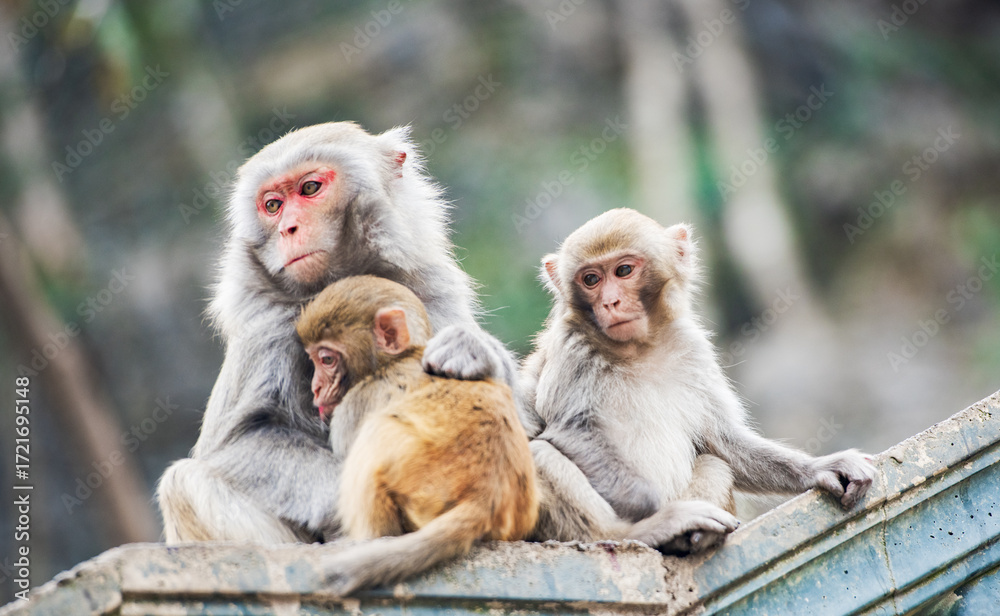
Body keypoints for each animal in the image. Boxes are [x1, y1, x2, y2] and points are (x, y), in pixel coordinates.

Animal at [156, 122, 519, 544]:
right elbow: (239, 440)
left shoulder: (429, 289)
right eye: (273, 206)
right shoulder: (266, 327)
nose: (288, 228)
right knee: (184, 483)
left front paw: (472, 350)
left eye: (310, 188)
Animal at [295, 275, 537, 595]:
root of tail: (488, 496)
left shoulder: (354, 407)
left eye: (326, 359)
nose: (316, 388)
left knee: (377, 434)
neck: (395, 362)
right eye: (314, 360)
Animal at [520, 208, 875, 553]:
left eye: (623, 271)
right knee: (539, 454)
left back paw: (694, 538)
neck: (636, 349)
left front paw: (821, 468)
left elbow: (721, 440)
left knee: (715, 463)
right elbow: (572, 429)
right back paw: (645, 530)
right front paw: (658, 509)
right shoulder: (571, 348)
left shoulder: (691, 347)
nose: (610, 302)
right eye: (591, 279)